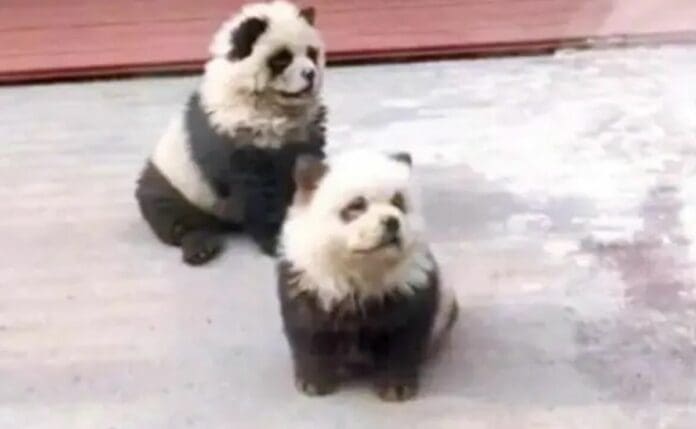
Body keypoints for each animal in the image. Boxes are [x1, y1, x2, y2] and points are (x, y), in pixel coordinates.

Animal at [135, 1, 326, 265]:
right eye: (282, 59)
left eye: (311, 53)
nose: (310, 74)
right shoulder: (235, 134)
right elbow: (258, 193)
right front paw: (276, 240)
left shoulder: (306, 131)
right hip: (174, 180)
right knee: (171, 215)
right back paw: (200, 246)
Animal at [276, 151, 458, 401]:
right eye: (356, 205)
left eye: (398, 202)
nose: (392, 222)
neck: (363, 269)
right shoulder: (309, 281)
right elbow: (310, 333)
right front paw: (314, 382)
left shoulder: (409, 287)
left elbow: (402, 337)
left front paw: (396, 387)